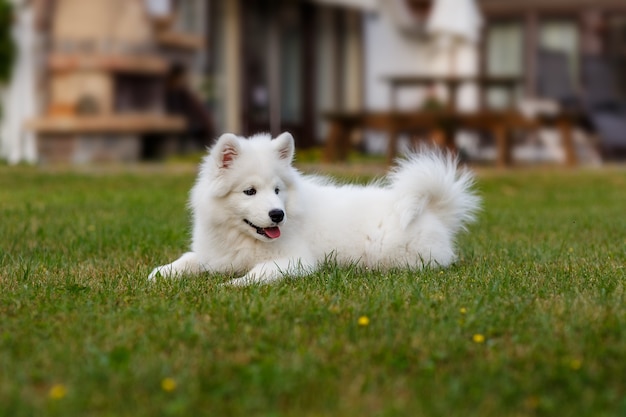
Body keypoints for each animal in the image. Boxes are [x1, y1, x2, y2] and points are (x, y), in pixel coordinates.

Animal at [150, 132, 478, 284]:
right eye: (250, 191)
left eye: (277, 191)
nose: (277, 215)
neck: (242, 238)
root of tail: (434, 213)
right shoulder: (212, 255)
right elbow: (187, 260)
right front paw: (160, 273)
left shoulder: (296, 260)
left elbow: (261, 272)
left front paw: (235, 284)